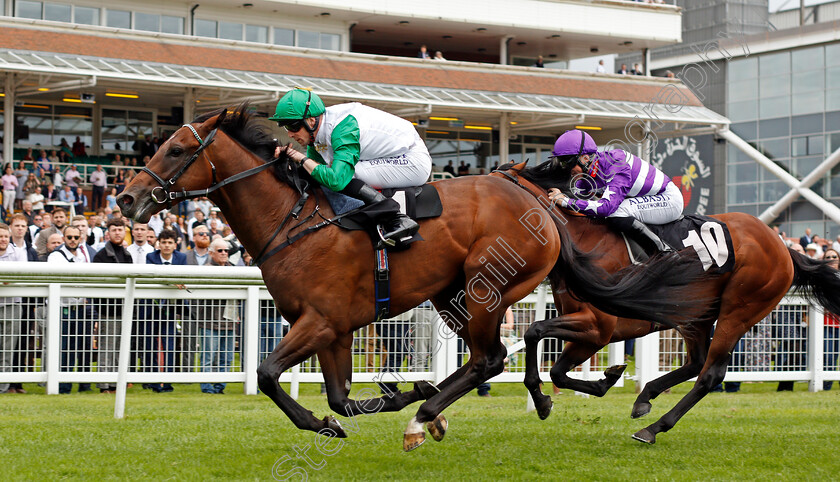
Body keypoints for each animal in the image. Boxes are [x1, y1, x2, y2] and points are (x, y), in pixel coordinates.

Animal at [116, 106, 708, 452]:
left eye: (175, 149)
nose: (125, 198)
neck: (296, 220)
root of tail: (532, 194)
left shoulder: (320, 320)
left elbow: (265, 373)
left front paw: (357, 413)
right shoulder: (335, 329)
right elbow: (339, 398)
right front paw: (365, 407)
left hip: (486, 287)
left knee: (492, 358)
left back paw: (427, 416)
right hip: (454, 295)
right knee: (489, 358)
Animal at [508, 161, 840, 444]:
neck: (582, 242)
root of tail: (783, 248)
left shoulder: (597, 328)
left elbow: (535, 332)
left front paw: (546, 399)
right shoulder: (590, 335)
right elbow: (555, 367)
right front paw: (600, 382)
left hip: (739, 311)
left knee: (710, 374)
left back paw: (653, 428)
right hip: (698, 316)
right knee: (696, 362)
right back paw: (645, 397)